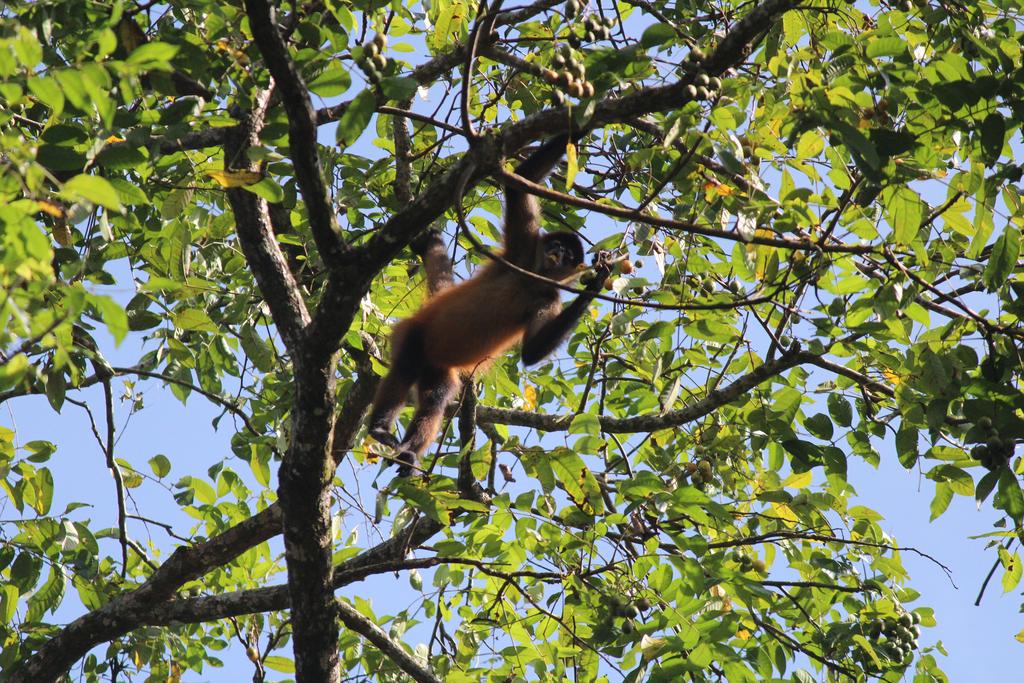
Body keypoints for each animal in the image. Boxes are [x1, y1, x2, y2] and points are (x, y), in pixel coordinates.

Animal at [368, 133, 606, 475]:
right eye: (558, 245)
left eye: (569, 255)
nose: (559, 253)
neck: (532, 280)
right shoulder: (521, 252)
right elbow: (523, 179)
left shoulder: (549, 298)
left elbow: (531, 353)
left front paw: (598, 282)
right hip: (414, 334)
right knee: (407, 364)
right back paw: (380, 428)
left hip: (438, 368)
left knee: (436, 398)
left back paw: (409, 452)